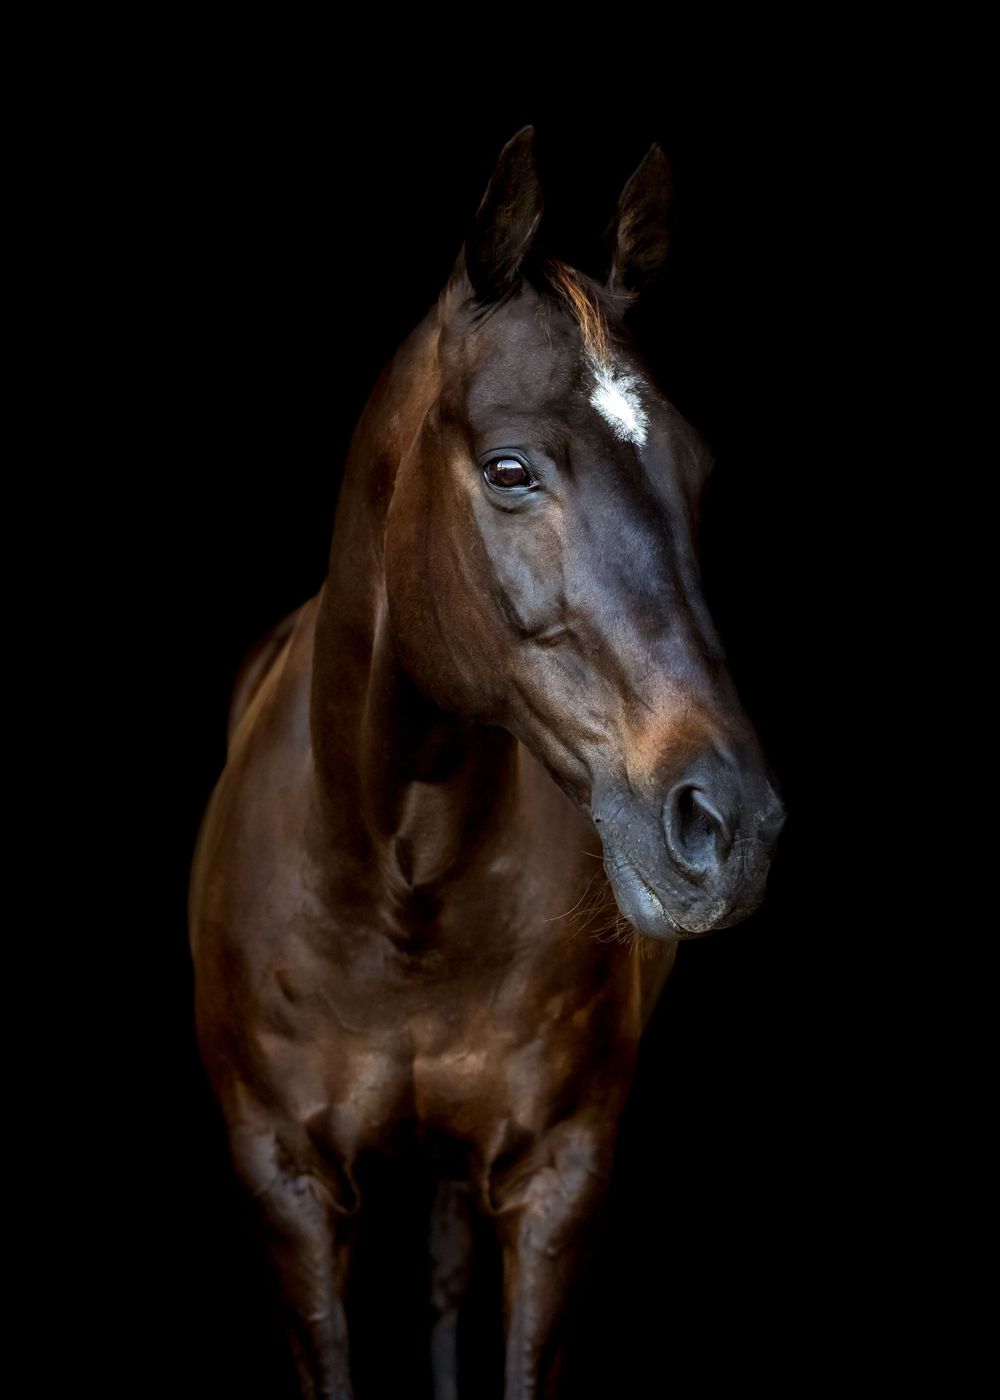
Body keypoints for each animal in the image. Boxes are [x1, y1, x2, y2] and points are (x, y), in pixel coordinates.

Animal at [188, 125, 786, 1400]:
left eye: (700, 471)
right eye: (511, 467)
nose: (730, 824)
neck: (398, 880)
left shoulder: (557, 1176)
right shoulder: (286, 1188)